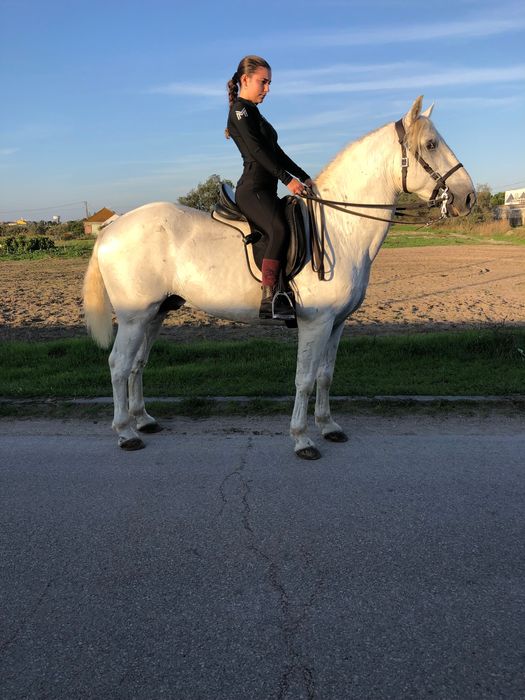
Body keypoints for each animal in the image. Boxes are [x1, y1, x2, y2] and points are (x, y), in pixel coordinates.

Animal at [83, 96, 475, 459]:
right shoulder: (316, 322)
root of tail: (112, 226)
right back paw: (126, 433)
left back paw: (143, 420)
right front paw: (303, 439)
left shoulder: (337, 323)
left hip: (155, 314)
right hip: (134, 317)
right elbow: (304, 379)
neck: (341, 227)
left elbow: (325, 375)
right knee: (119, 365)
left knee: (137, 364)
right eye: (431, 145)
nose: (468, 197)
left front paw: (328, 426)